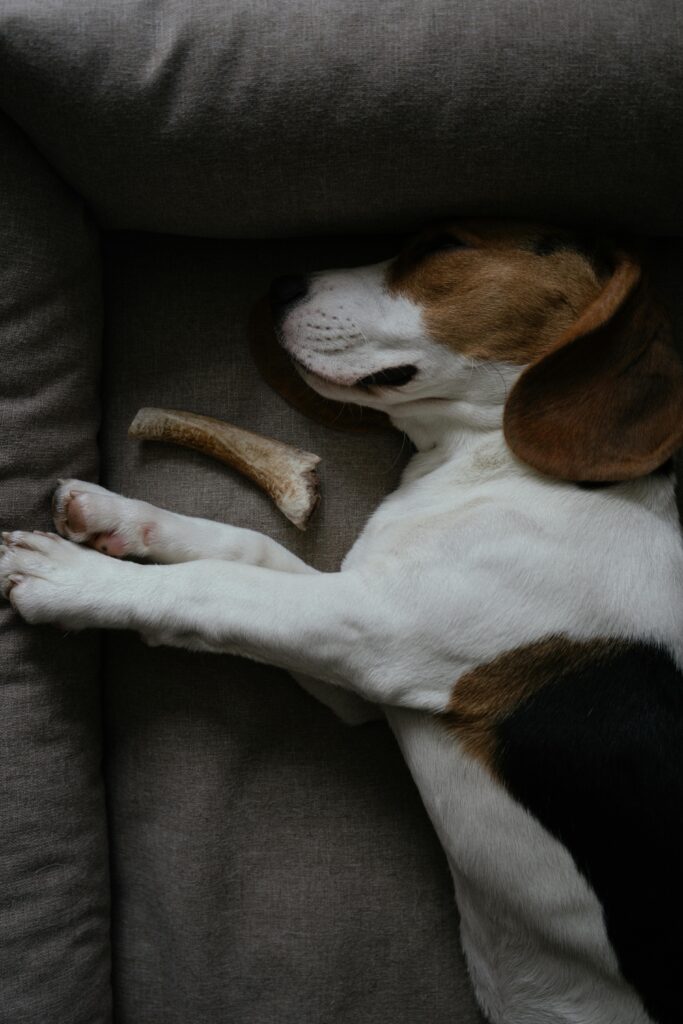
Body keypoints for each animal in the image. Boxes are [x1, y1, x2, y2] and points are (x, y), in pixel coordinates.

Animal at [3, 220, 683, 1019]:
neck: (495, 466)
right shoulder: (356, 642)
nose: (279, 284)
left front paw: (72, 579)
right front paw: (114, 518)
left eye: (443, 247)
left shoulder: (375, 632)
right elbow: (244, 546)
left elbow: (213, 588)